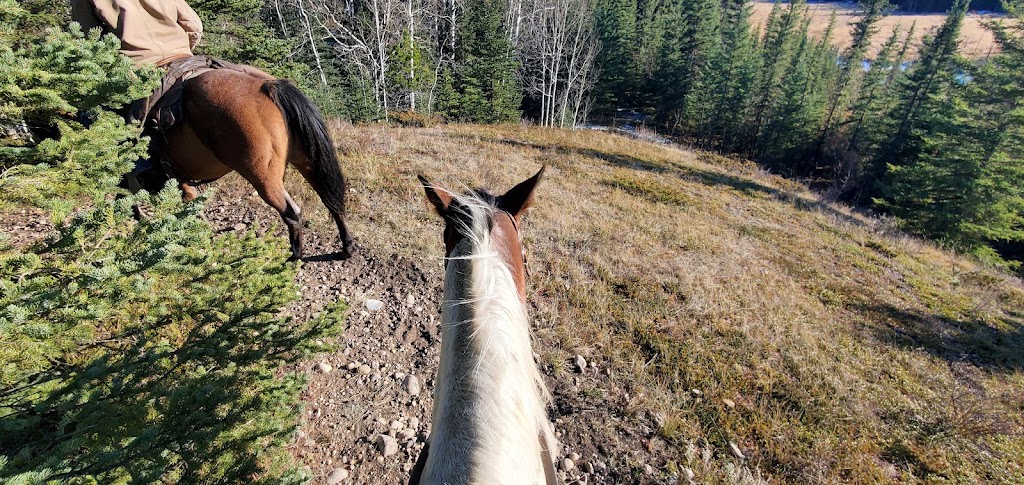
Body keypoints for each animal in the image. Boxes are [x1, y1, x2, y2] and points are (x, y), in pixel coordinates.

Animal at [151, 67, 352, 261]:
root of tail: (267, 86)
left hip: (263, 177)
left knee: (293, 213)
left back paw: (294, 257)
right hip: (307, 161)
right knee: (331, 201)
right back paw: (346, 247)